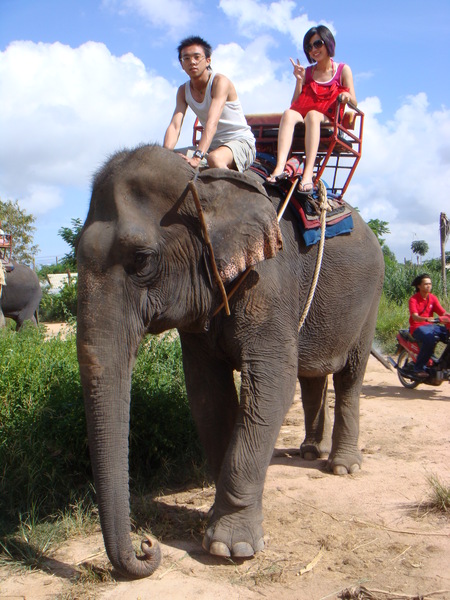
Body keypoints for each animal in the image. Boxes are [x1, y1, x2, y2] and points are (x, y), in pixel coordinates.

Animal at [76, 143, 384, 580]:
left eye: (143, 260)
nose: (147, 545)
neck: (206, 182)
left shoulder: (268, 279)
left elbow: (273, 381)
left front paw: (230, 548)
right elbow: (208, 392)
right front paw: (215, 522)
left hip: (371, 297)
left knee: (349, 377)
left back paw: (342, 467)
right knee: (311, 376)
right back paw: (310, 452)